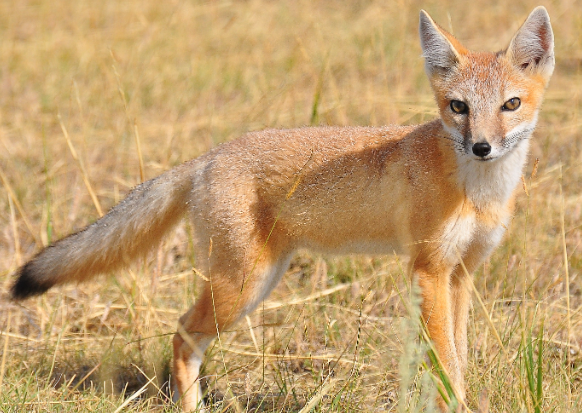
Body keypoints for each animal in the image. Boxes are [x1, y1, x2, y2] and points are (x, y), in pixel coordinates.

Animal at [10, 7, 556, 412]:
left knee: (188, 339)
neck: (478, 190)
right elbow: (444, 367)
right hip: (240, 286)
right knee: (182, 337)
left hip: (258, 282)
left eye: (510, 104)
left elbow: (458, 361)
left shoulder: (461, 273)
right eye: (459, 107)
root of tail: (210, 156)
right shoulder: (428, 270)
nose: (482, 147)